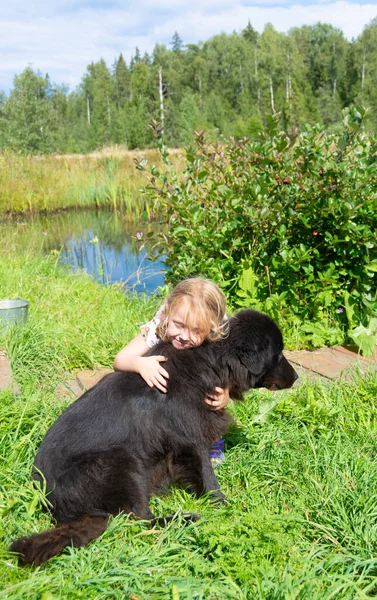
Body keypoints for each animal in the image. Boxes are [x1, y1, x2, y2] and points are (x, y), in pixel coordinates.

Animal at [9, 312, 296, 564]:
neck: (212, 361)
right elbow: (207, 475)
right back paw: (182, 519)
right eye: (279, 353)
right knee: (139, 519)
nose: (296, 377)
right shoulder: (192, 439)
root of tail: (48, 498)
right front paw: (223, 503)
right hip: (120, 461)